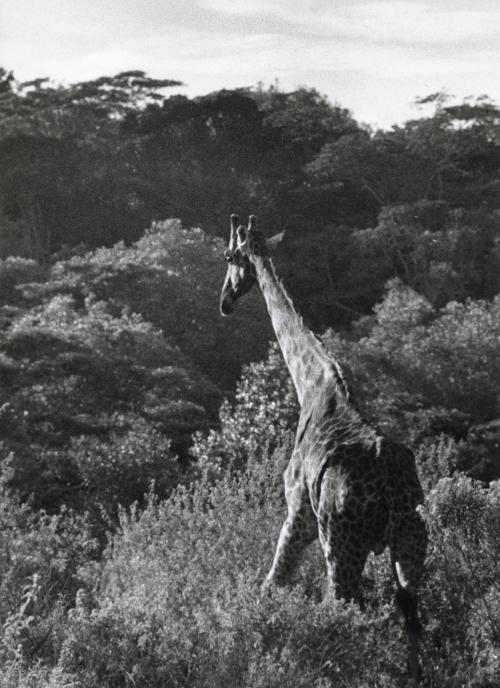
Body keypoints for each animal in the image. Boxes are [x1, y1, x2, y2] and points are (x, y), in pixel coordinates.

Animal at [221, 214, 428, 684]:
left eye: (229, 257)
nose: (224, 301)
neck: (313, 385)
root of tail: (390, 488)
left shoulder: (297, 514)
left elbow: (271, 584)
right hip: (411, 538)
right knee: (410, 613)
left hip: (341, 542)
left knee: (341, 607)